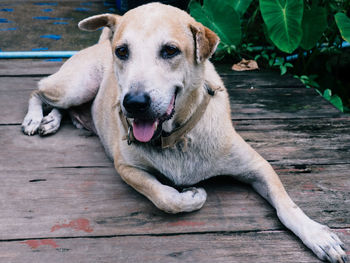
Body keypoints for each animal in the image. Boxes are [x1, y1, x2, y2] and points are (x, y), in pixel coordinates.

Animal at [21, 3, 348, 262]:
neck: (177, 136)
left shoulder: (257, 165)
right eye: (122, 52)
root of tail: (101, 42)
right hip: (75, 86)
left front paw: (317, 235)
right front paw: (192, 195)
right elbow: (163, 196)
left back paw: (53, 121)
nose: (134, 104)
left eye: (170, 50)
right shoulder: (125, 166)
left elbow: (286, 203)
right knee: (38, 89)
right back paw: (36, 118)